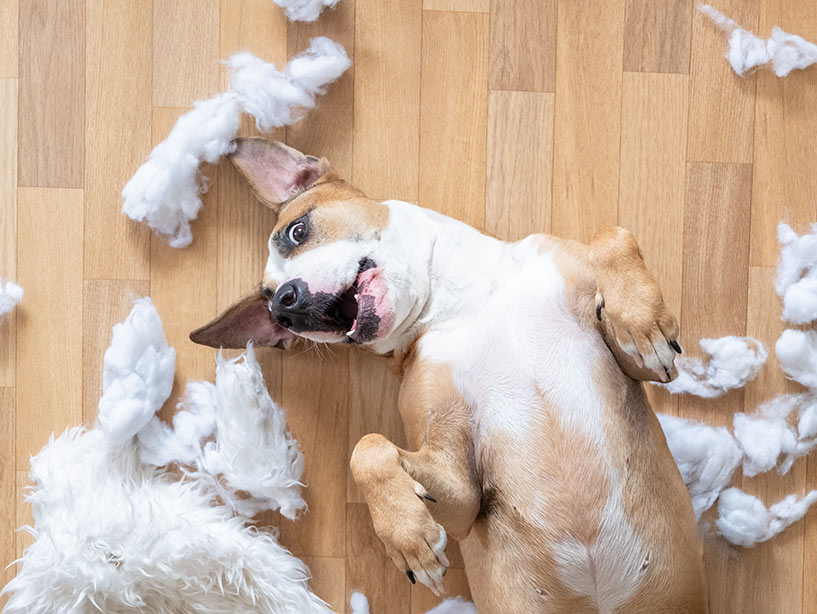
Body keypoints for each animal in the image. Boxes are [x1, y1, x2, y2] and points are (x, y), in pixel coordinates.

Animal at [191, 140, 708, 614]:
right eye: (272, 311)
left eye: (296, 231)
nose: (285, 306)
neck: (470, 298)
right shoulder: (463, 494)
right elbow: (368, 449)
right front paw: (409, 537)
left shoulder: (638, 368)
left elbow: (612, 234)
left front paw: (642, 322)